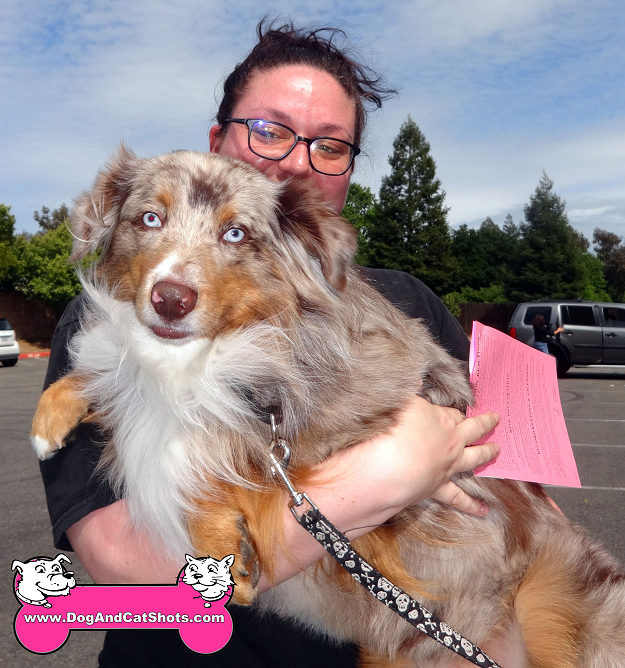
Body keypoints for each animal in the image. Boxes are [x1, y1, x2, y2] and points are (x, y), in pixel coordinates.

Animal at [31, 149, 624, 664]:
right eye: (150, 218)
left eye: (235, 233)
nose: (171, 299)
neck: (200, 356)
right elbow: (122, 380)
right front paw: (52, 415)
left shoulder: (366, 408)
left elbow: (212, 442)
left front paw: (221, 545)